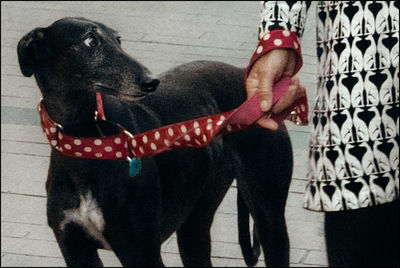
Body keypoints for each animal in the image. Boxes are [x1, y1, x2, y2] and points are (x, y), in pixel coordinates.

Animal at [17, 17, 292, 266]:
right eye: (90, 40)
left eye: (118, 40)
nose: (150, 81)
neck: (87, 141)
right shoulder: (75, 247)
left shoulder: (141, 250)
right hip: (196, 218)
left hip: (269, 213)